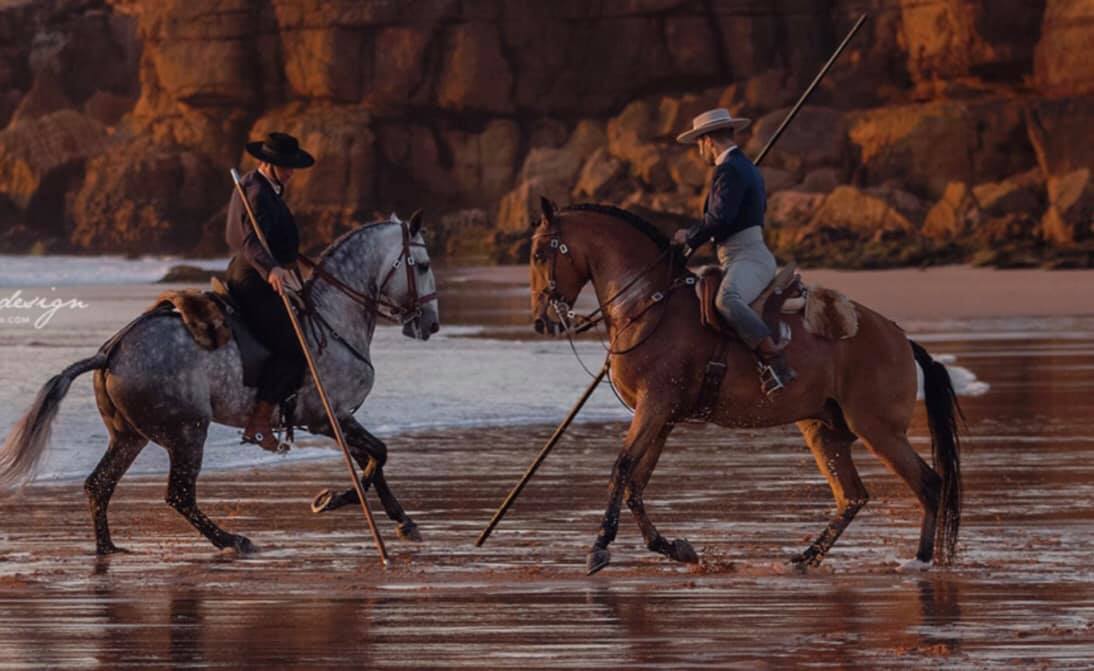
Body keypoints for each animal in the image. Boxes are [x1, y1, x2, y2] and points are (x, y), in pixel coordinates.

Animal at [0, 213, 439, 555]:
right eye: (421, 264)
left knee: (99, 485)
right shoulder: (326, 417)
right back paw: (232, 540)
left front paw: (401, 520)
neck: (332, 317)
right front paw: (334, 499)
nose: (432, 324)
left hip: (129, 436)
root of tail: (110, 353)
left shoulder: (337, 419)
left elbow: (373, 460)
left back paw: (108, 549)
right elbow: (376, 456)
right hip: (187, 431)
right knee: (178, 495)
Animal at [529, 198, 962, 575]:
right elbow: (636, 481)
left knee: (929, 484)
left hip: (877, 429)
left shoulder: (655, 407)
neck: (647, 305)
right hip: (824, 430)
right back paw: (806, 557)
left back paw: (921, 560)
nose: (540, 321)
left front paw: (600, 546)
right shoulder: (661, 416)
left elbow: (621, 468)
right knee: (852, 495)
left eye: (537, 255)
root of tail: (899, 337)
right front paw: (676, 549)